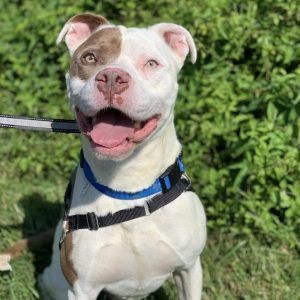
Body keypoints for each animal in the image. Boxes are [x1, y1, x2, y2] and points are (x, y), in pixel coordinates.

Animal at [39, 12, 206, 300]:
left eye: (151, 63)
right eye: (90, 58)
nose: (112, 77)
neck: (128, 186)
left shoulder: (190, 269)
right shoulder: (82, 288)